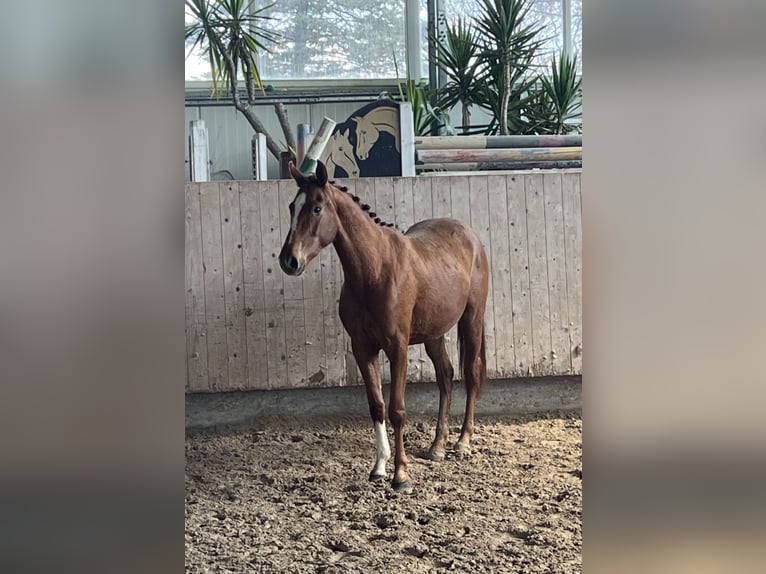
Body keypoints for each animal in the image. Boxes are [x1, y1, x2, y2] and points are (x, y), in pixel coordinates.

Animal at [278, 161, 489, 493]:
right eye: (291, 207)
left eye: (316, 208)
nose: (289, 260)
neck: (374, 270)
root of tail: (470, 236)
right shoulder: (363, 348)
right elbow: (376, 405)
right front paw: (378, 468)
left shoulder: (397, 347)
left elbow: (396, 410)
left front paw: (401, 475)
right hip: (434, 333)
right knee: (445, 376)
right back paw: (437, 445)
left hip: (472, 319)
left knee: (471, 373)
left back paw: (462, 442)